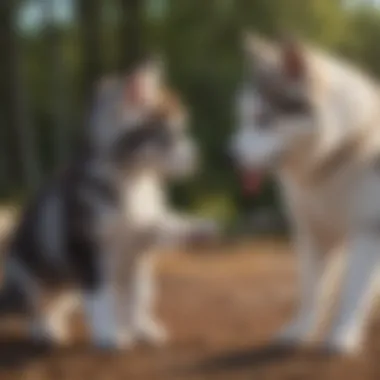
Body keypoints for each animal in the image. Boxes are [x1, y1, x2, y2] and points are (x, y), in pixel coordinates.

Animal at [1, 60, 217, 350]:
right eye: (170, 135)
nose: (196, 159)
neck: (133, 180)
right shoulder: (89, 254)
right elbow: (102, 298)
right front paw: (109, 335)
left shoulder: (138, 246)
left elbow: (139, 294)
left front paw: (141, 328)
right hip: (27, 277)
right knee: (36, 309)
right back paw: (44, 331)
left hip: (70, 288)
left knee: (56, 306)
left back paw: (57, 325)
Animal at [230, 34, 380, 354]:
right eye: (244, 118)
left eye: (264, 119)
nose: (229, 158)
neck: (335, 157)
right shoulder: (314, 233)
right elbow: (312, 291)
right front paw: (300, 331)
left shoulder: (368, 231)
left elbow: (353, 290)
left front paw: (342, 334)